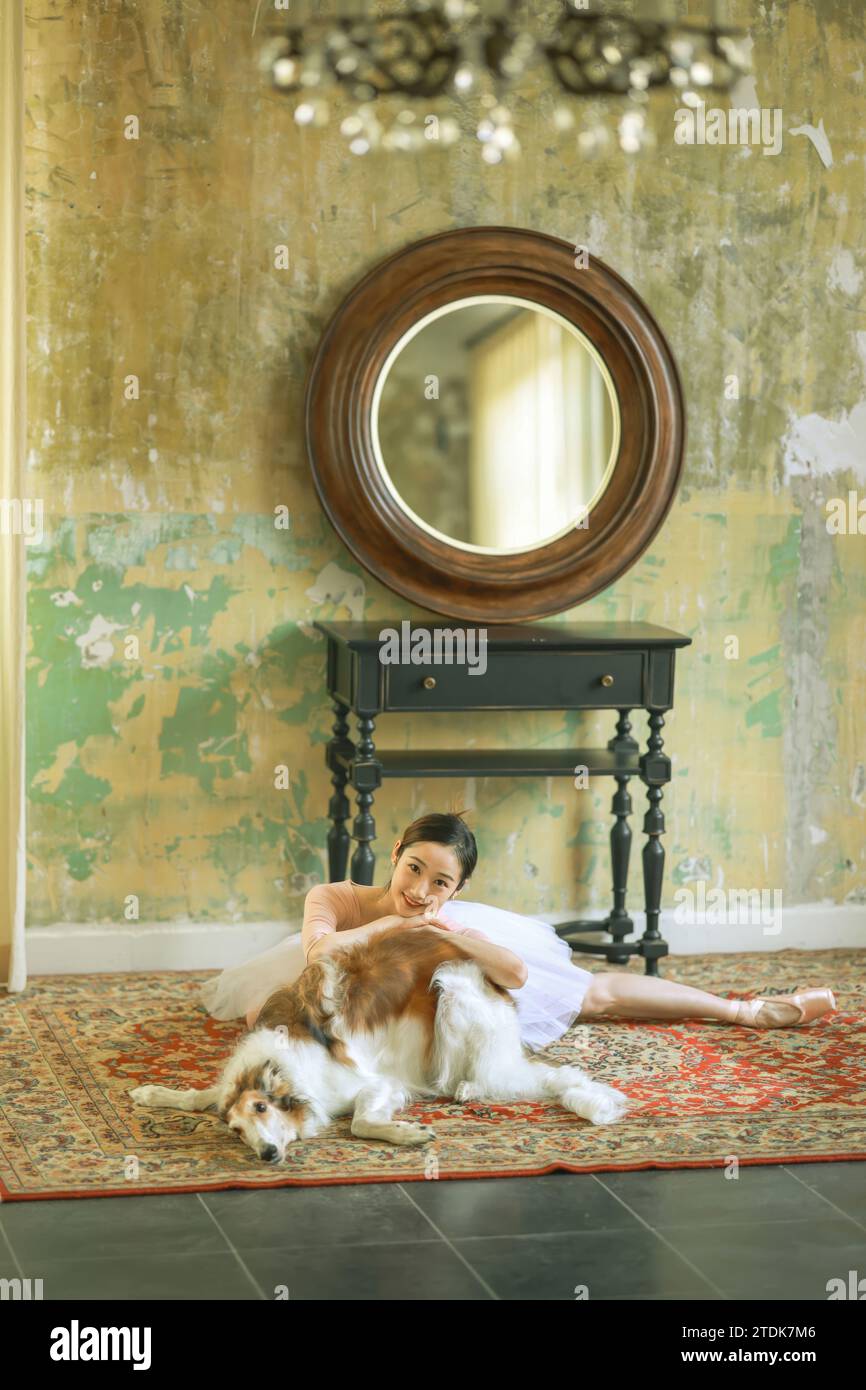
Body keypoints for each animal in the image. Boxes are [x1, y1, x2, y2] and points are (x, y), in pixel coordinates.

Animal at [130, 934, 631, 1162]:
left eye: (260, 1108)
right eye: (236, 1131)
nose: (266, 1154)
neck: (289, 1066)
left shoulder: (377, 1085)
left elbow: (360, 1124)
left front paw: (407, 1133)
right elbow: (201, 1094)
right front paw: (153, 1092)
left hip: (451, 995)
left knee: (525, 1078)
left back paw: (469, 1089)